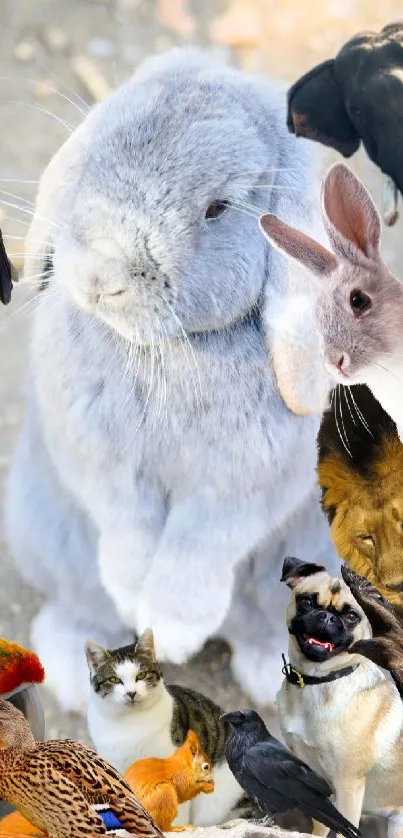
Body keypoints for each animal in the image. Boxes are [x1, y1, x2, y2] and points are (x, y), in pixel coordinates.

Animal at [4, 49, 338, 712]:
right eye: (97, 151)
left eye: (217, 209)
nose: (99, 275)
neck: (166, 350)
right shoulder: (101, 463)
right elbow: (128, 526)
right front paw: (135, 593)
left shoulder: (240, 489)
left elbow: (197, 545)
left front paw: (175, 627)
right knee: (85, 608)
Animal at [278, 556, 403, 838]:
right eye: (306, 601)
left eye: (351, 616)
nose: (326, 616)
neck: (318, 681)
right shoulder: (316, 783)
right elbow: (320, 826)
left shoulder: (348, 785)